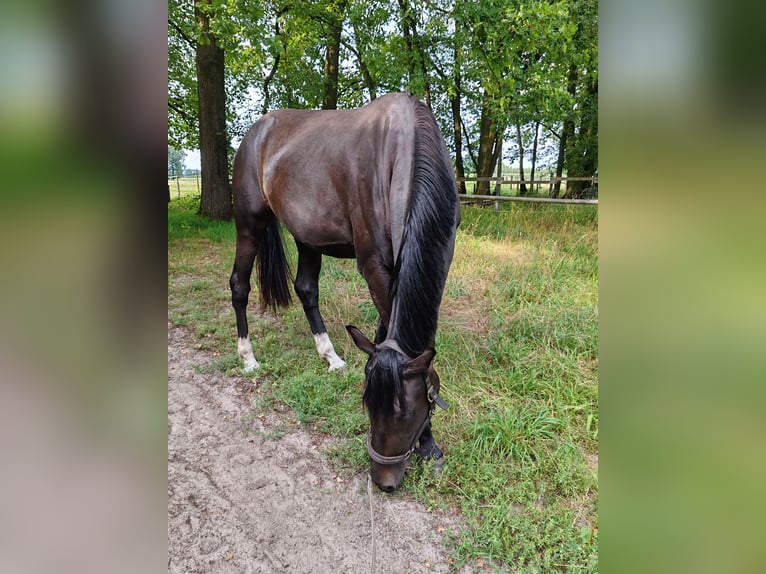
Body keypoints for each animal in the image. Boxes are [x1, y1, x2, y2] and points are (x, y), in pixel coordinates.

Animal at [231, 93, 462, 490]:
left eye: (406, 412)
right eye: (368, 404)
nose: (383, 481)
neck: (402, 148)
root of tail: (256, 132)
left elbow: (386, 335)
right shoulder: (374, 265)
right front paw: (430, 445)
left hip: (306, 235)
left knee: (306, 290)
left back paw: (331, 357)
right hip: (249, 225)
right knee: (239, 287)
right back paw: (248, 357)